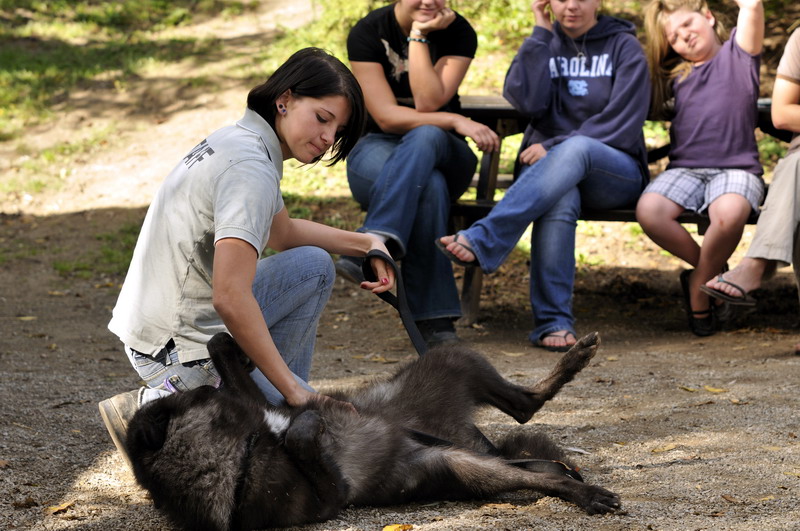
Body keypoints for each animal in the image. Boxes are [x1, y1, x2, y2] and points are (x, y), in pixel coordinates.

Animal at [126, 331, 619, 530]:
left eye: (188, 395)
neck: (243, 448)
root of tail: (467, 437)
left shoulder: (264, 407)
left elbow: (218, 346)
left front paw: (233, 346)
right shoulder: (328, 497)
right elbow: (302, 435)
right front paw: (307, 425)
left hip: (454, 361)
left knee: (525, 408)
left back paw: (576, 358)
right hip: (463, 461)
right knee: (536, 458)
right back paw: (585, 492)